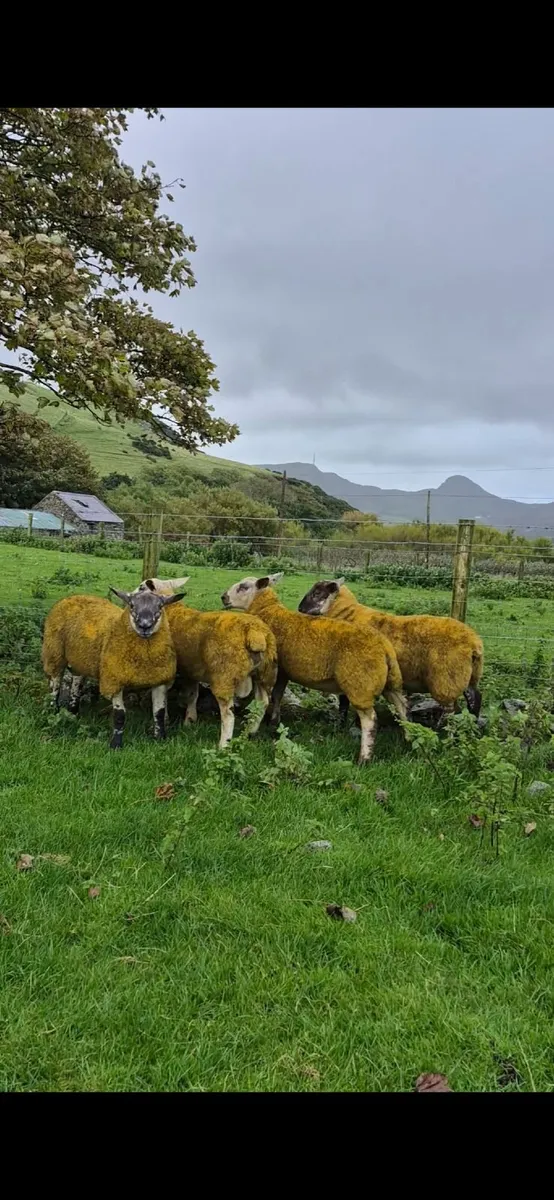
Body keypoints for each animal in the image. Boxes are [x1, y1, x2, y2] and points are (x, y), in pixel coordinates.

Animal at [42, 586, 184, 749]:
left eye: (160, 606)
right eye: (132, 605)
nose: (144, 626)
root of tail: (73, 596)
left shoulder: (160, 680)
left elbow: (159, 713)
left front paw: (160, 739)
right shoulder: (114, 680)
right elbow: (120, 715)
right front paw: (116, 744)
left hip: (80, 656)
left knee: (77, 680)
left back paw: (73, 711)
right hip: (54, 651)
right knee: (55, 682)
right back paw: (52, 710)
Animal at [138, 578, 279, 749]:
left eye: (141, 588)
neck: (171, 610)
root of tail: (255, 633)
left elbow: (163, 694)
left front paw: (165, 719)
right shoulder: (192, 669)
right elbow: (192, 694)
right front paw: (190, 720)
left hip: (225, 676)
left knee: (229, 714)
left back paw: (223, 746)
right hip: (266, 672)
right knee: (262, 702)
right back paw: (251, 732)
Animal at [221, 573, 407, 765]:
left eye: (243, 586)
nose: (223, 597)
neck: (269, 611)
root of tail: (384, 647)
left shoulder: (277, 669)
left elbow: (273, 696)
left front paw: (271, 721)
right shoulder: (284, 672)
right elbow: (278, 695)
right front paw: (275, 722)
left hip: (360, 685)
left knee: (370, 721)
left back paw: (364, 758)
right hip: (391, 682)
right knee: (402, 707)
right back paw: (408, 738)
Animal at [298, 578, 484, 722]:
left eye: (317, 593)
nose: (299, 609)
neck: (348, 613)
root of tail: (474, 643)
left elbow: (344, 702)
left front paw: (343, 724)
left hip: (447, 679)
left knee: (450, 710)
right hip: (467, 676)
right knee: (475, 699)